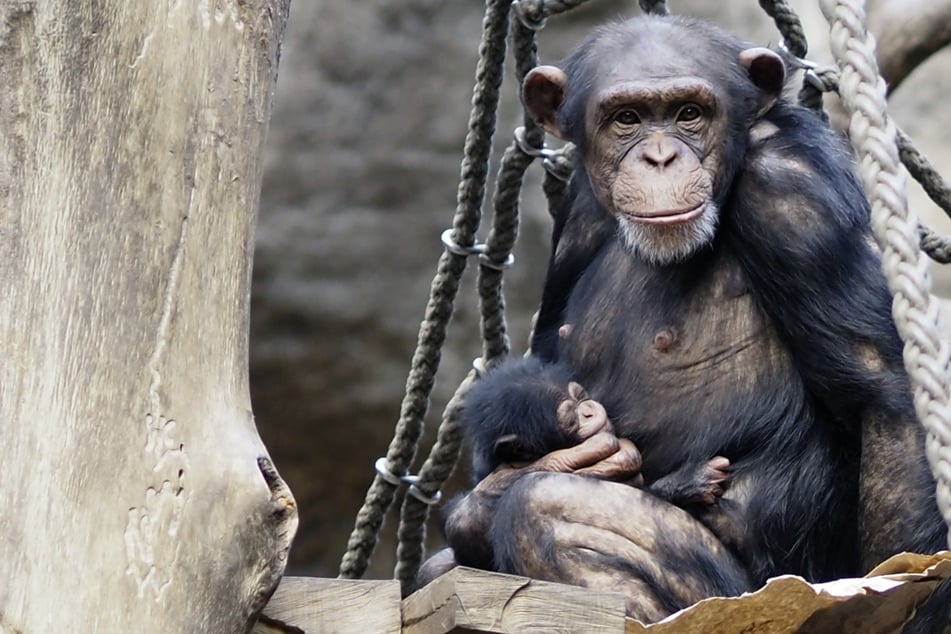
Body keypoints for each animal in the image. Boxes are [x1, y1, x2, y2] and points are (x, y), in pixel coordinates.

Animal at [426, 12, 951, 624]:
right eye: (627, 119)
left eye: (688, 113)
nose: (659, 158)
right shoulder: (579, 206)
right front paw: (490, 493)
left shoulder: (793, 185)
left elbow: (884, 390)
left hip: (749, 593)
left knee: (548, 509)